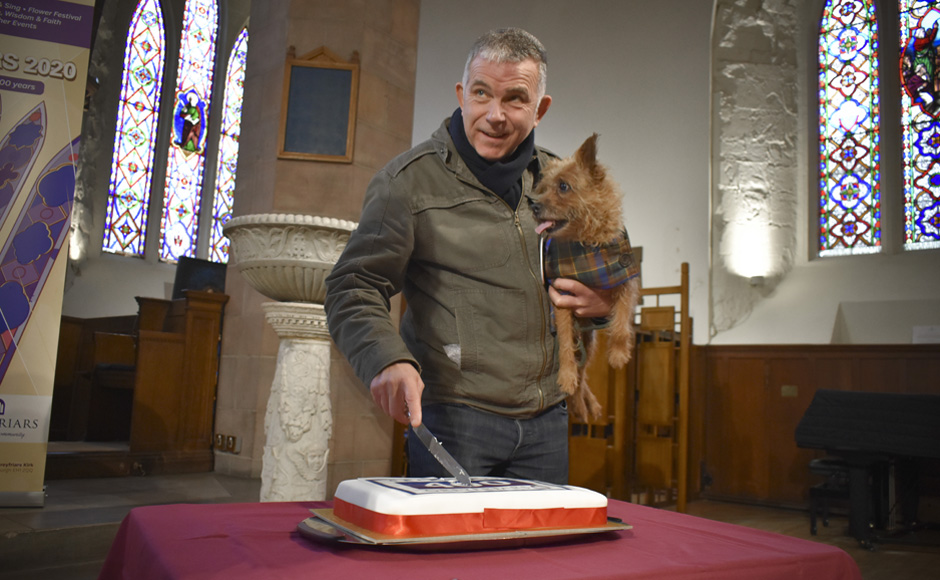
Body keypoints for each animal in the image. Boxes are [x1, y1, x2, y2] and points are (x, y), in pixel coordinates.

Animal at [528, 133, 640, 420]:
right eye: (543, 187)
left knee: (585, 372)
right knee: (580, 371)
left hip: (589, 342)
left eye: (563, 186)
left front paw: (619, 354)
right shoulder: (563, 297)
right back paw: (580, 403)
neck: (586, 244)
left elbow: (621, 322)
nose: (534, 205)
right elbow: (566, 349)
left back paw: (588, 404)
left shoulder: (626, 279)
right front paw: (565, 378)